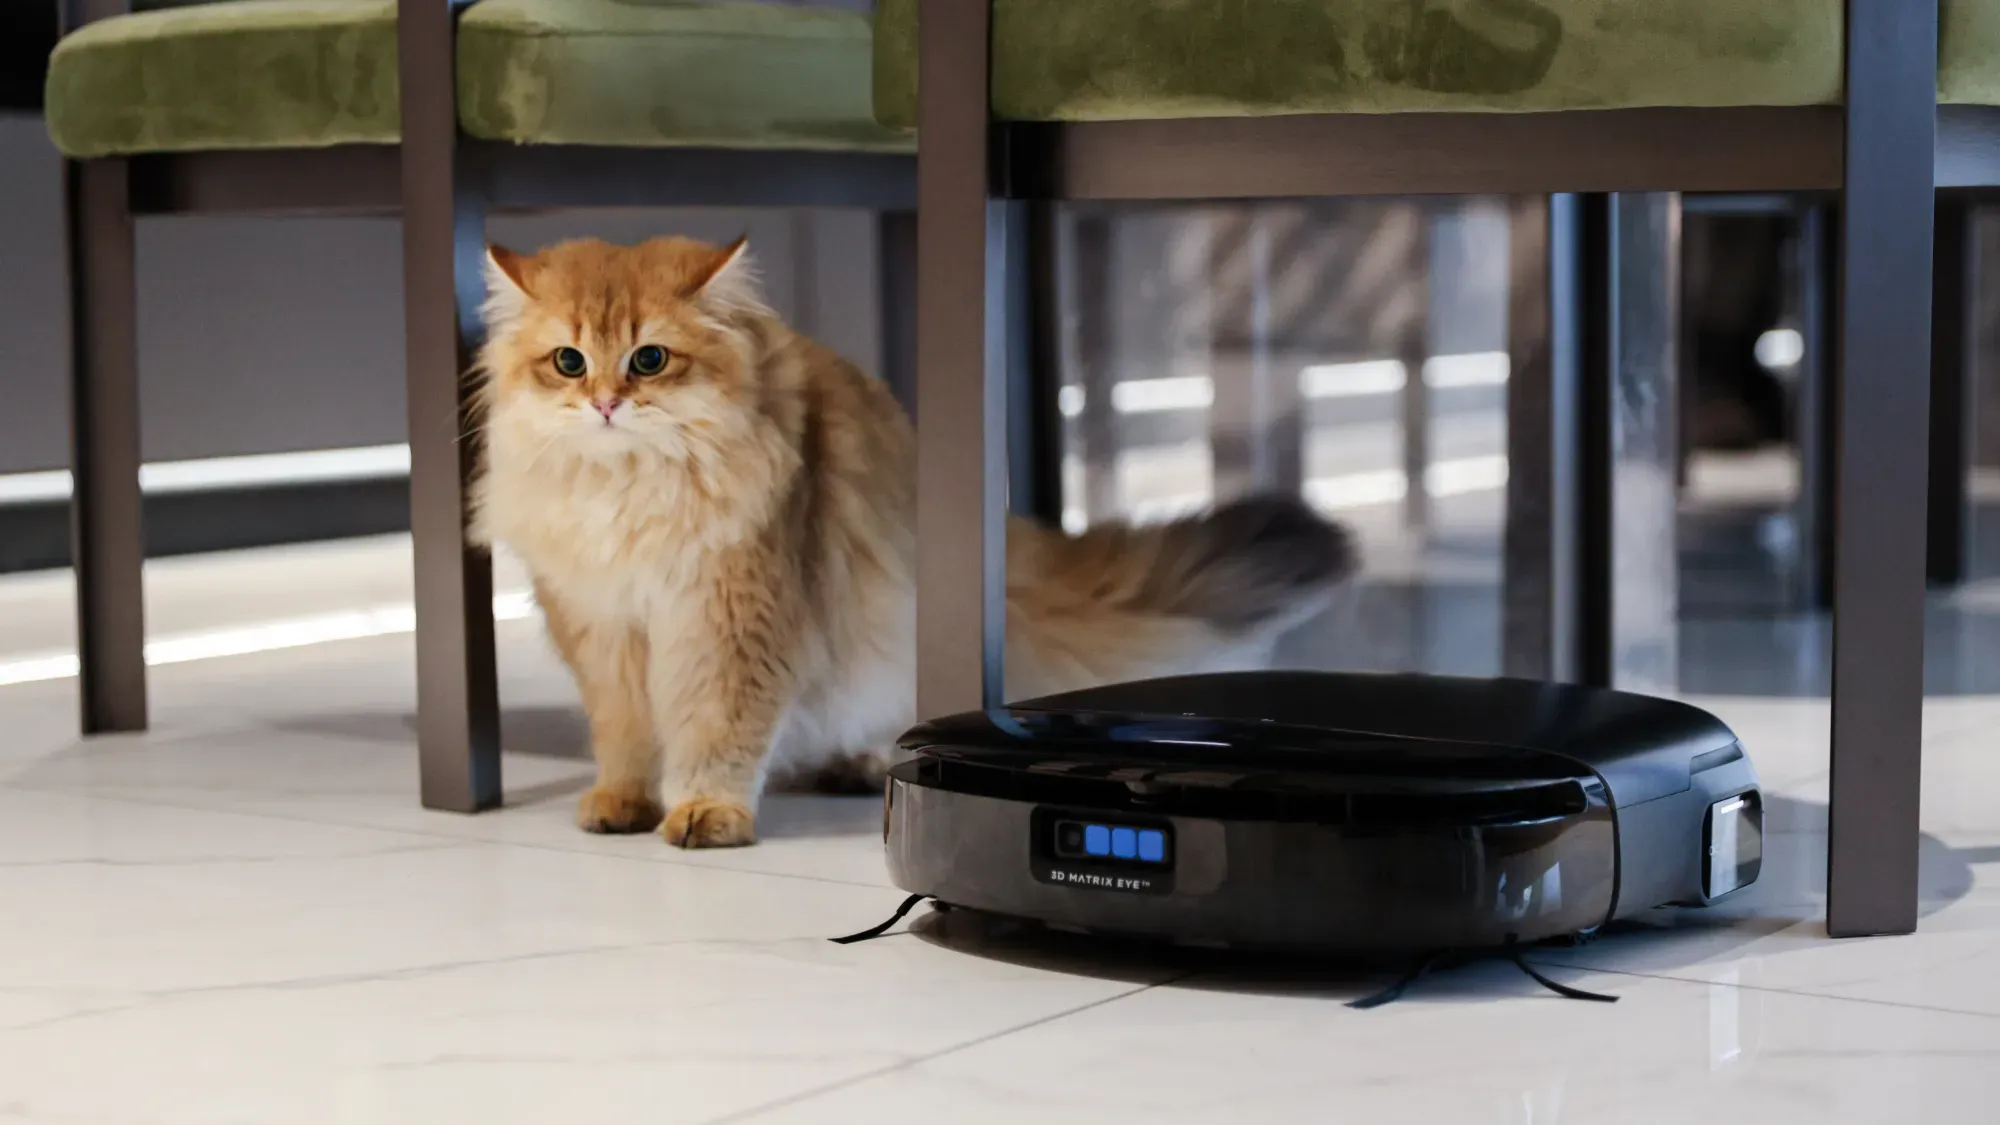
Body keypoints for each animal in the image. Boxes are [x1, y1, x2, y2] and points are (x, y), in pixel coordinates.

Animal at [472, 241, 1360, 844]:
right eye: (569, 361)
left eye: (649, 358)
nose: (606, 403)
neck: (626, 493)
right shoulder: (600, 627)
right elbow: (623, 732)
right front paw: (623, 798)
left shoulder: (732, 617)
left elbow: (718, 726)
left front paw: (704, 809)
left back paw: (863, 763)